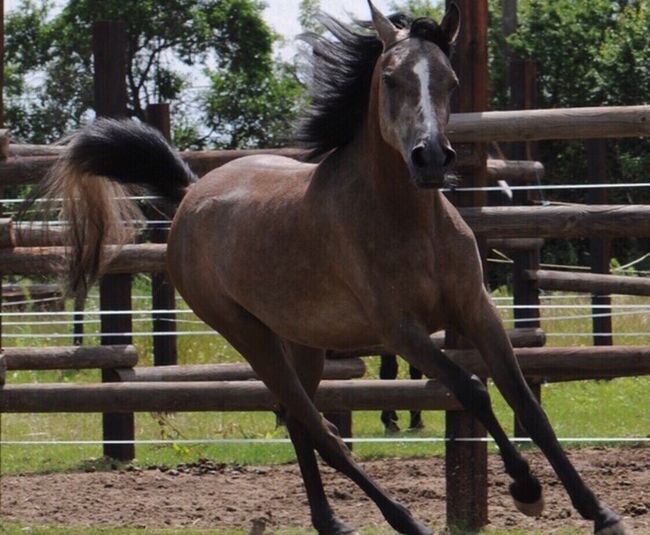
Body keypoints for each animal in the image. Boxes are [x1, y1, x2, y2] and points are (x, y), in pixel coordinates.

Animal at [35, 1, 628, 535]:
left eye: (452, 81)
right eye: (390, 79)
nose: (431, 158)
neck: (409, 222)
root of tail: (189, 195)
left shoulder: (475, 310)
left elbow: (527, 403)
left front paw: (600, 513)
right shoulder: (402, 331)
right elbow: (471, 389)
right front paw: (526, 490)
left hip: (303, 342)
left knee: (301, 422)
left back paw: (332, 521)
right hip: (250, 336)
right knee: (320, 429)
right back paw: (404, 521)